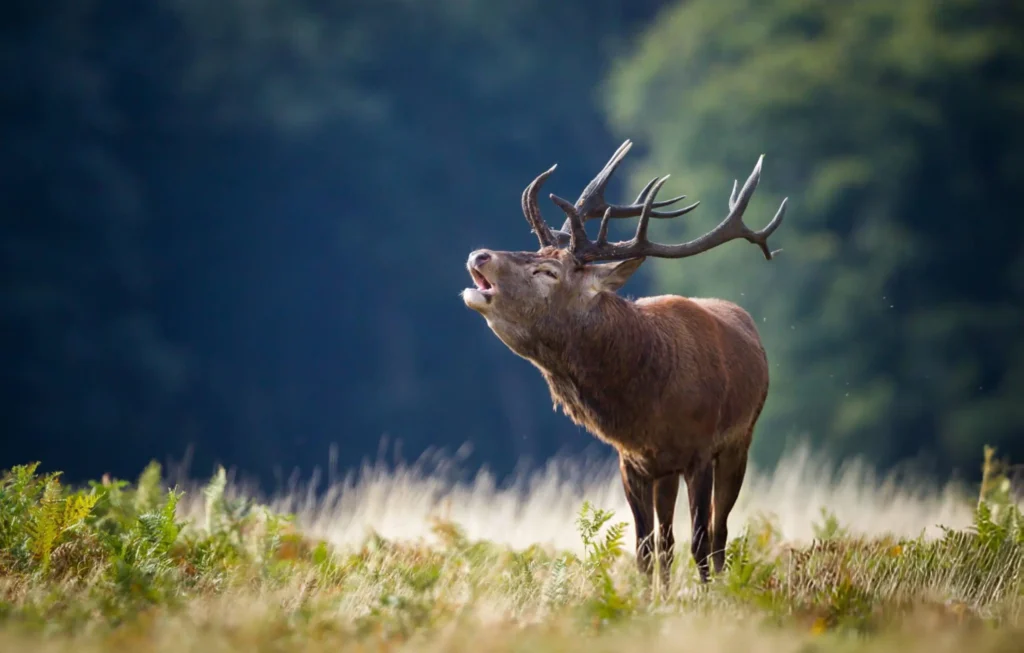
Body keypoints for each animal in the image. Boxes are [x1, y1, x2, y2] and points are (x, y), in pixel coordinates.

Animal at [461, 139, 787, 587]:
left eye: (547, 271)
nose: (479, 254)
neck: (647, 403)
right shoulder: (632, 461)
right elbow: (645, 550)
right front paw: (650, 598)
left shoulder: (701, 451)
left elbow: (701, 542)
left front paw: (707, 597)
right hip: (667, 472)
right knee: (667, 540)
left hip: (741, 440)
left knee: (719, 533)